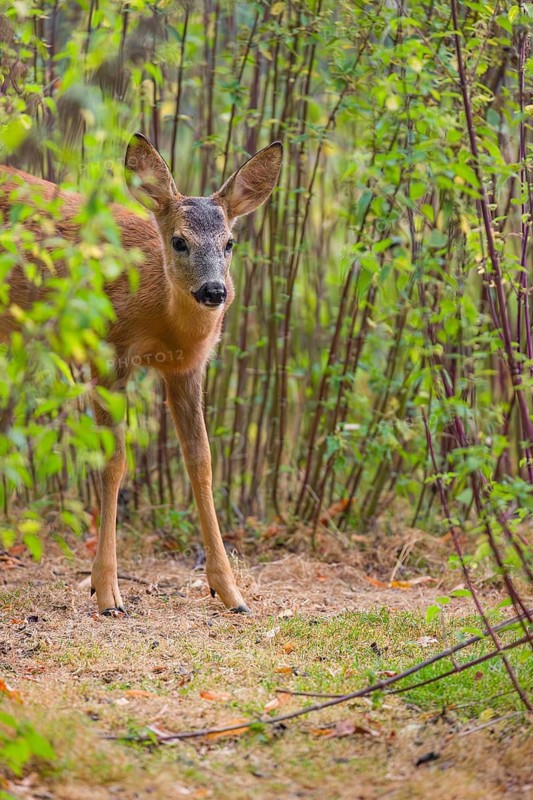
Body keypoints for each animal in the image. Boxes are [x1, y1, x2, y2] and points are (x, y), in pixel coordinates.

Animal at [0, 134, 283, 616]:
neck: (157, 313)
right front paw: (106, 593)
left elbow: (201, 461)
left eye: (230, 243)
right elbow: (114, 461)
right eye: (179, 241)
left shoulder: (188, 369)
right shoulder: (105, 352)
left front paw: (231, 593)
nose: (214, 291)